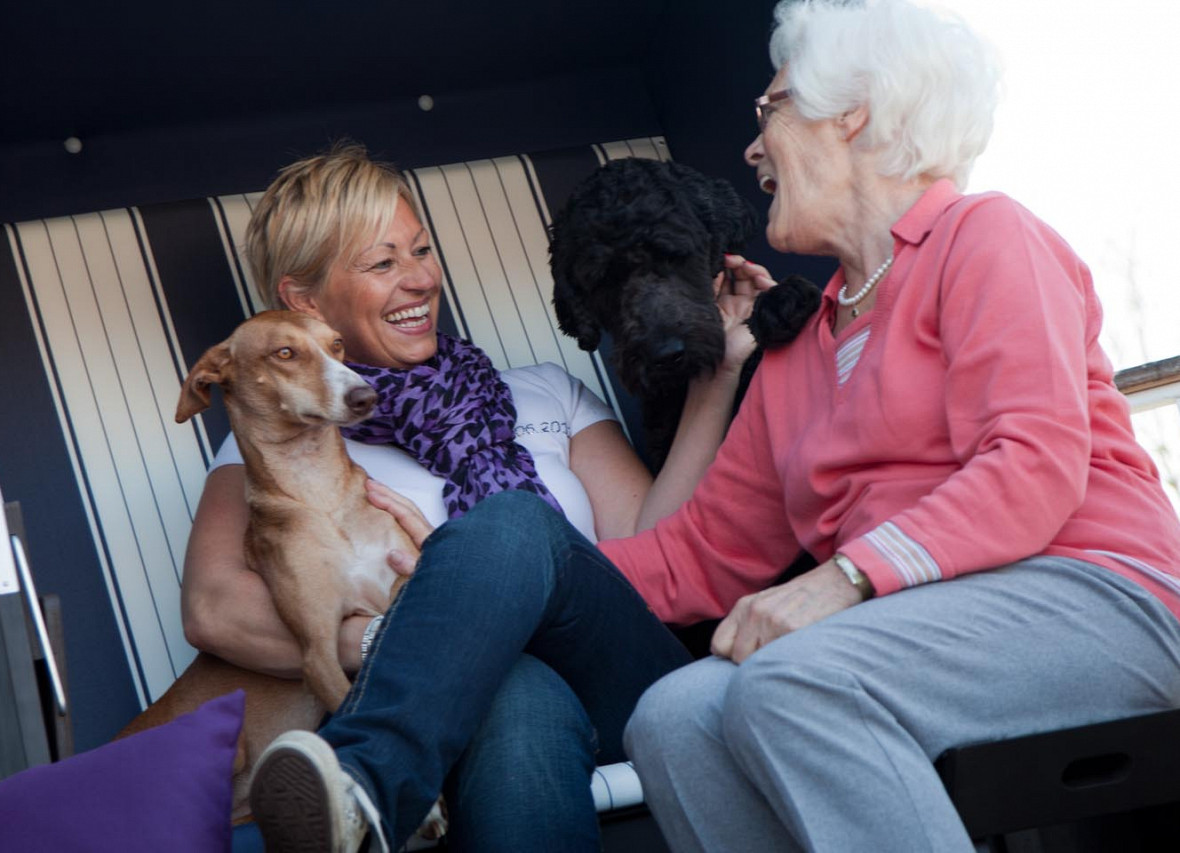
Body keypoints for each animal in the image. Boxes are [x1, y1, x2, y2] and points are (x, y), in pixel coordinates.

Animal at [119, 311, 422, 825]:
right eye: (284, 353)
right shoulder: (317, 652)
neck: (321, 495)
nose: (365, 395)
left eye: (337, 345)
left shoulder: (407, 570)